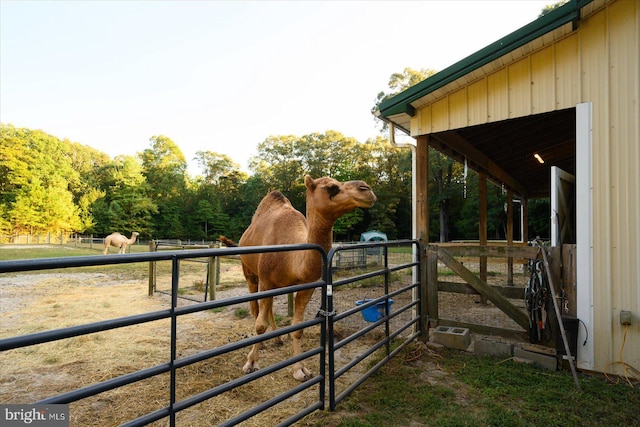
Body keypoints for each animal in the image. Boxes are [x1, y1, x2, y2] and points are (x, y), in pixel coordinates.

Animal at [236, 176, 376, 382]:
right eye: (331, 187)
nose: (366, 189)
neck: (291, 256)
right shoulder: (265, 279)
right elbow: (260, 325)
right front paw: (251, 363)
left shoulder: (306, 286)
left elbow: (298, 327)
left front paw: (300, 370)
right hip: (250, 274)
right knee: (255, 309)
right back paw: (262, 343)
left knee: (268, 309)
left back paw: (277, 338)